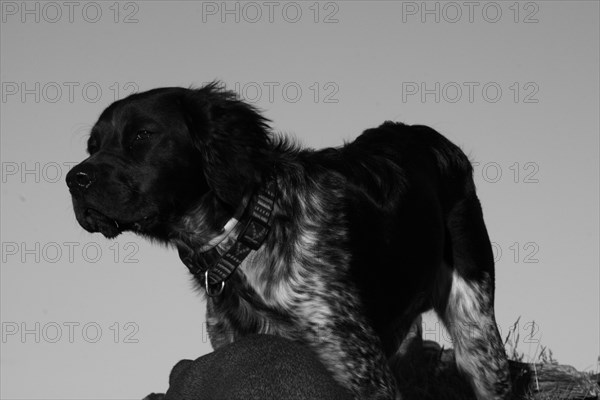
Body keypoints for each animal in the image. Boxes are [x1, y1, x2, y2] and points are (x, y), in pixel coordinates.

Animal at [68, 83, 512, 398]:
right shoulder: (233, 349)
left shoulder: (359, 368)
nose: (75, 179)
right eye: (93, 145)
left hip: (477, 335)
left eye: (142, 135)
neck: (249, 231)